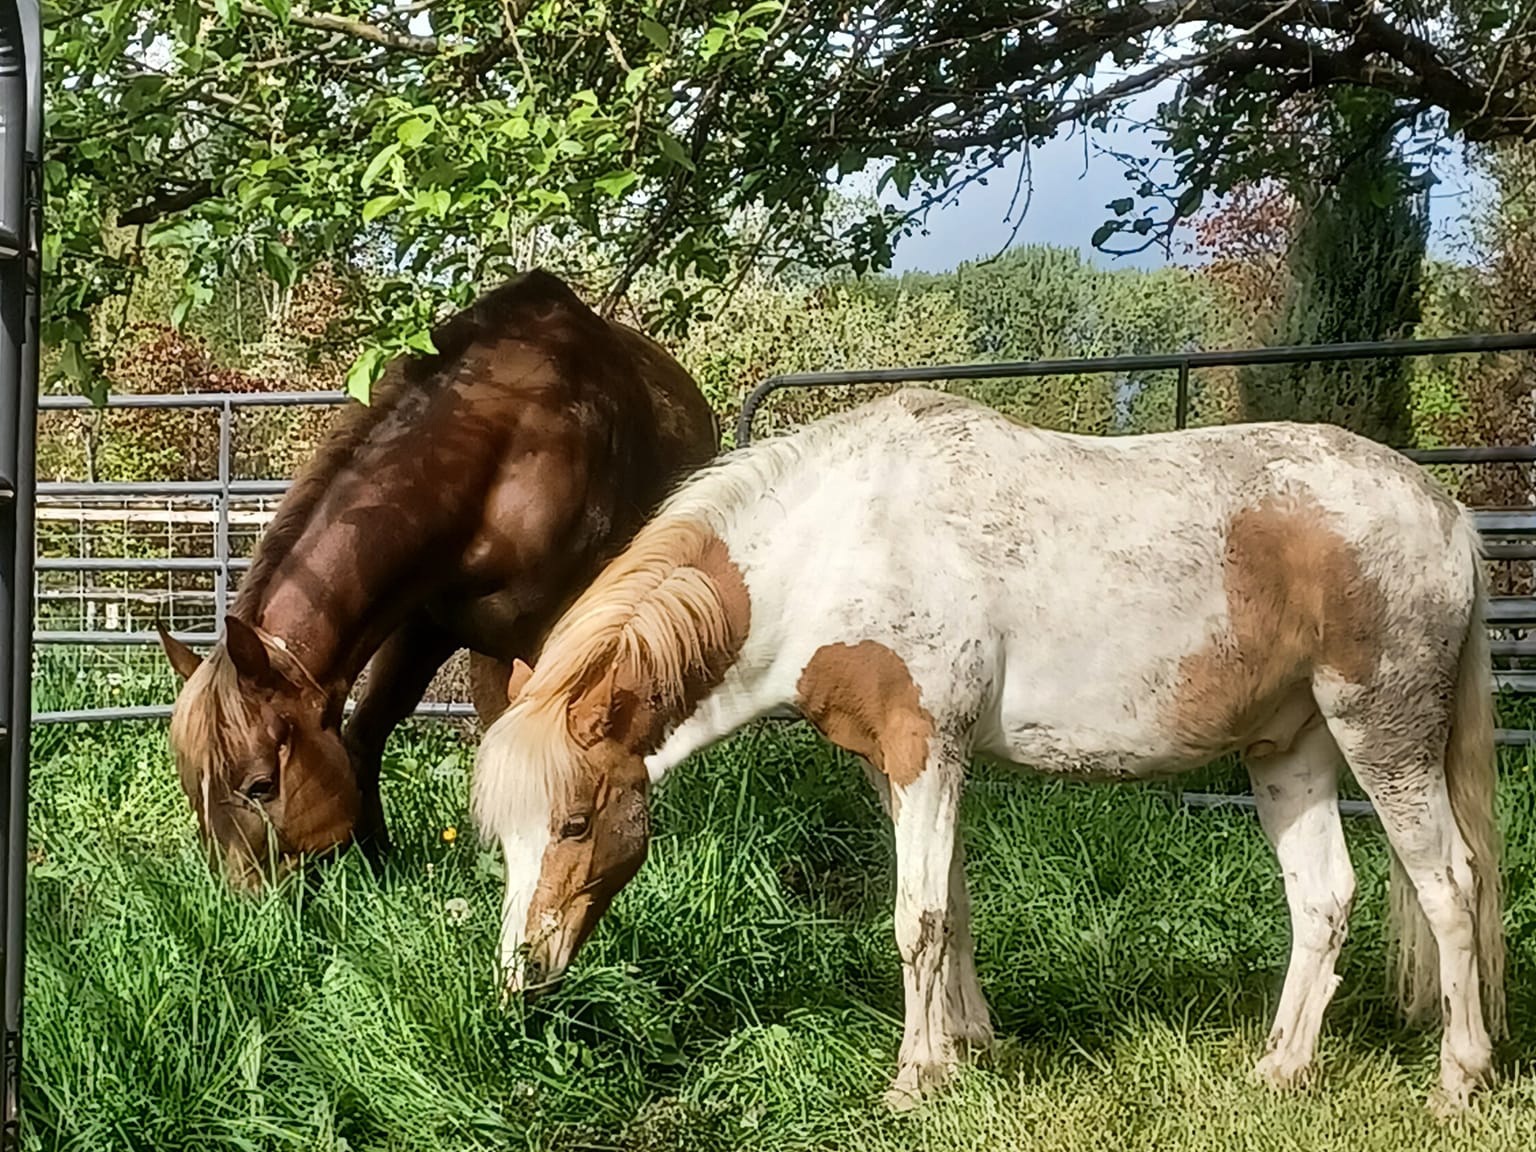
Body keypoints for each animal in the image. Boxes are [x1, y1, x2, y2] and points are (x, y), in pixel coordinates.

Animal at [158, 270, 721, 890]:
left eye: (260, 784)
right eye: (191, 786)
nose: (242, 902)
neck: (511, 452)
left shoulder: (530, 636)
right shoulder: (421, 625)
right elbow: (366, 731)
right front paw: (377, 857)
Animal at [473, 388, 1505, 1112]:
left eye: (575, 822)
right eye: (505, 839)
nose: (520, 973)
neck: (838, 546)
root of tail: (1447, 512)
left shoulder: (927, 751)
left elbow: (918, 917)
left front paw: (916, 1076)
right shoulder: (900, 767)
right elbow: (955, 908)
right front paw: (971, 1047)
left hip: (1385, 735)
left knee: (1450, 887)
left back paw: (1460, 1078)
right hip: (1289, 749)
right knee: (1324, 899)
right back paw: (1283, 1068)